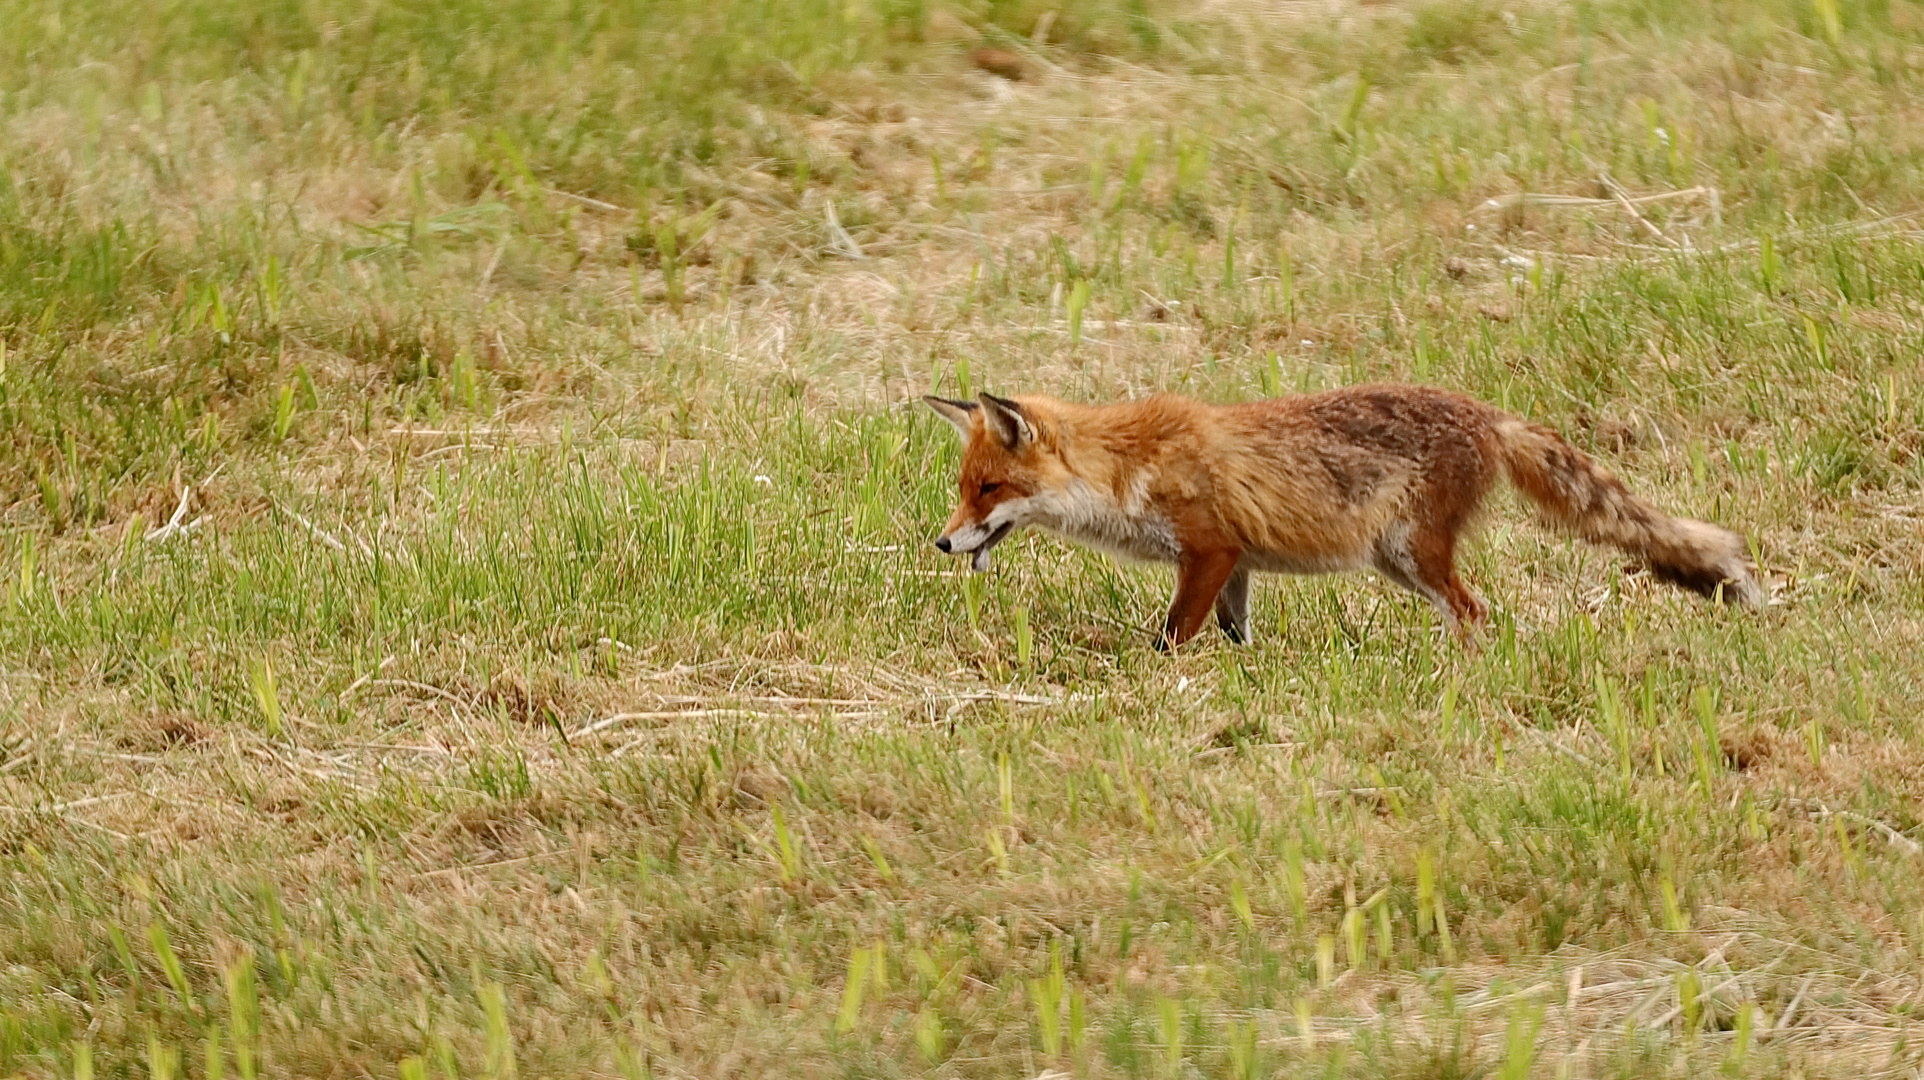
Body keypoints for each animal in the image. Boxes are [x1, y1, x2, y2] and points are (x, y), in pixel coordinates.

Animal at [923, 383, 1762, 642]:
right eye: (966, 488)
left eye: (987, 489)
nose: (941, 542)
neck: (1126, 467)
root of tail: (1488, 414)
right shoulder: (1236, 565)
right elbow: (1236, 635)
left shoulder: (1207, 549)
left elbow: (1169, 638)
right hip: (1397, 560)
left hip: (1414, 553)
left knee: (1475, 611)